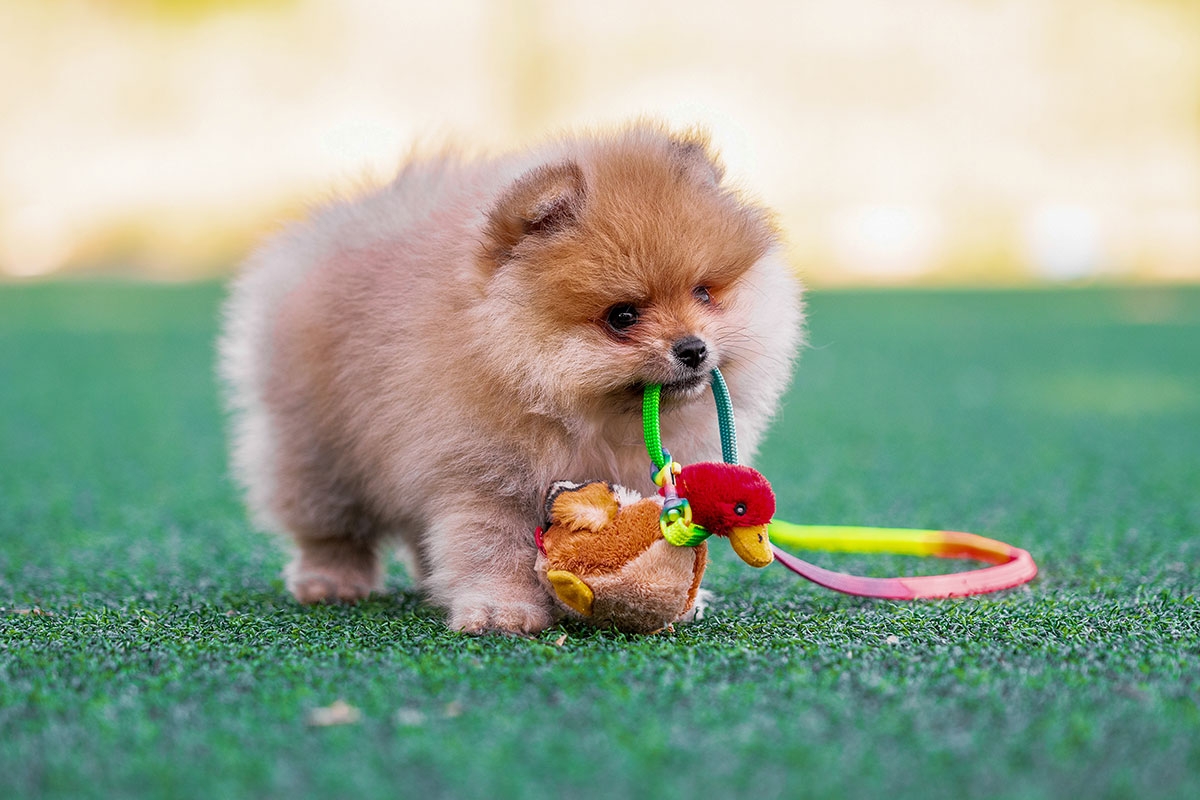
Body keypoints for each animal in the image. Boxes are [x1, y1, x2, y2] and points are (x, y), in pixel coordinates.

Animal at [223, 122, 806, 633]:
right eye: (622, 316)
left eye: (704, 293)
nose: (693, 348)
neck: (589, 418)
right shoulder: (483, 476)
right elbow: (493, 550)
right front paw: (500, 611)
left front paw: (676, 600)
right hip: (317, 451)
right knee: (329, 525)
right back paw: (331, 579)